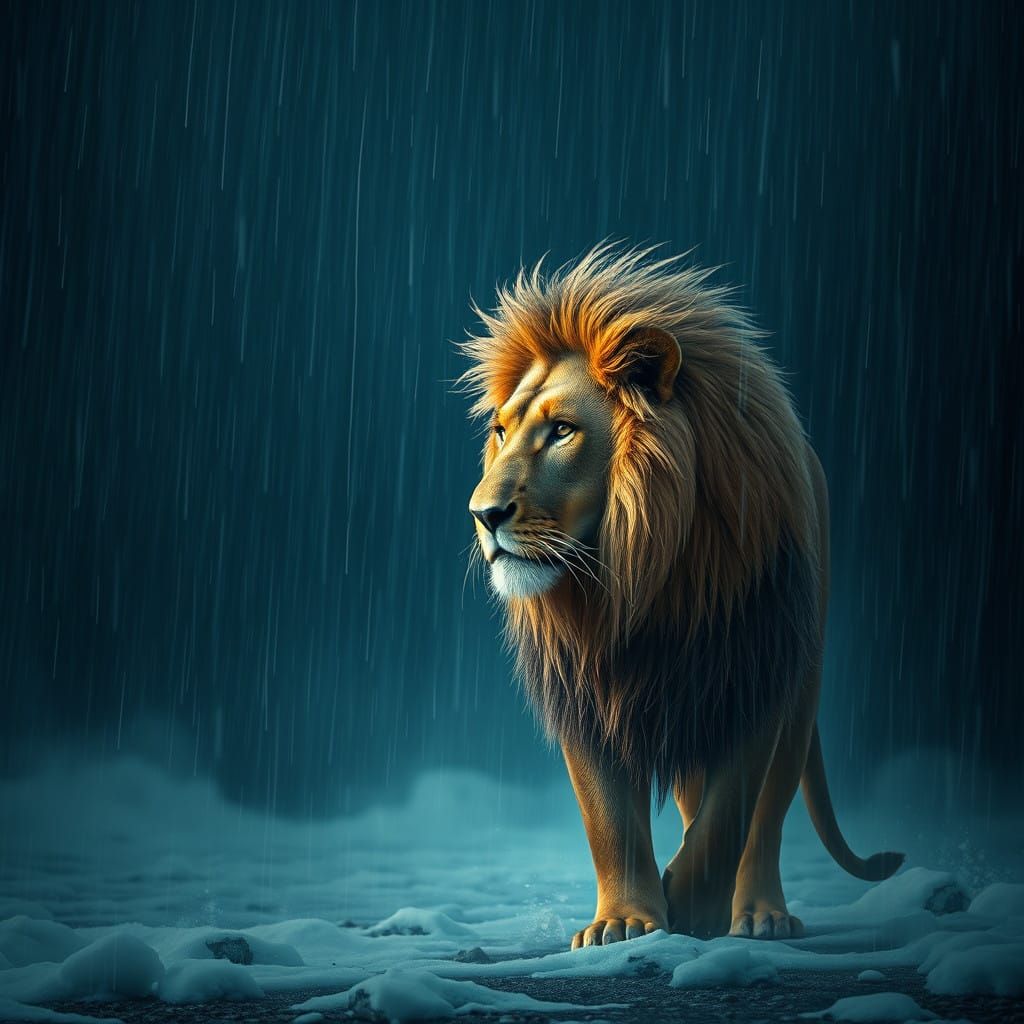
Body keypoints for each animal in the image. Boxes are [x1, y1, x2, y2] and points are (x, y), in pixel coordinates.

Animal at [460, 244, 904, 947]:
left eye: (562, 431)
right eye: (501, 431)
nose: (483, 514)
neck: (641, 581)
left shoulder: (754, 674)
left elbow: (731, 818)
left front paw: (688, 907)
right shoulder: (589, 692)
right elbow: (608, 819)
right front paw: (624, 922)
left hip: (798, 681)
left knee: (768, 816)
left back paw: (760, 915)